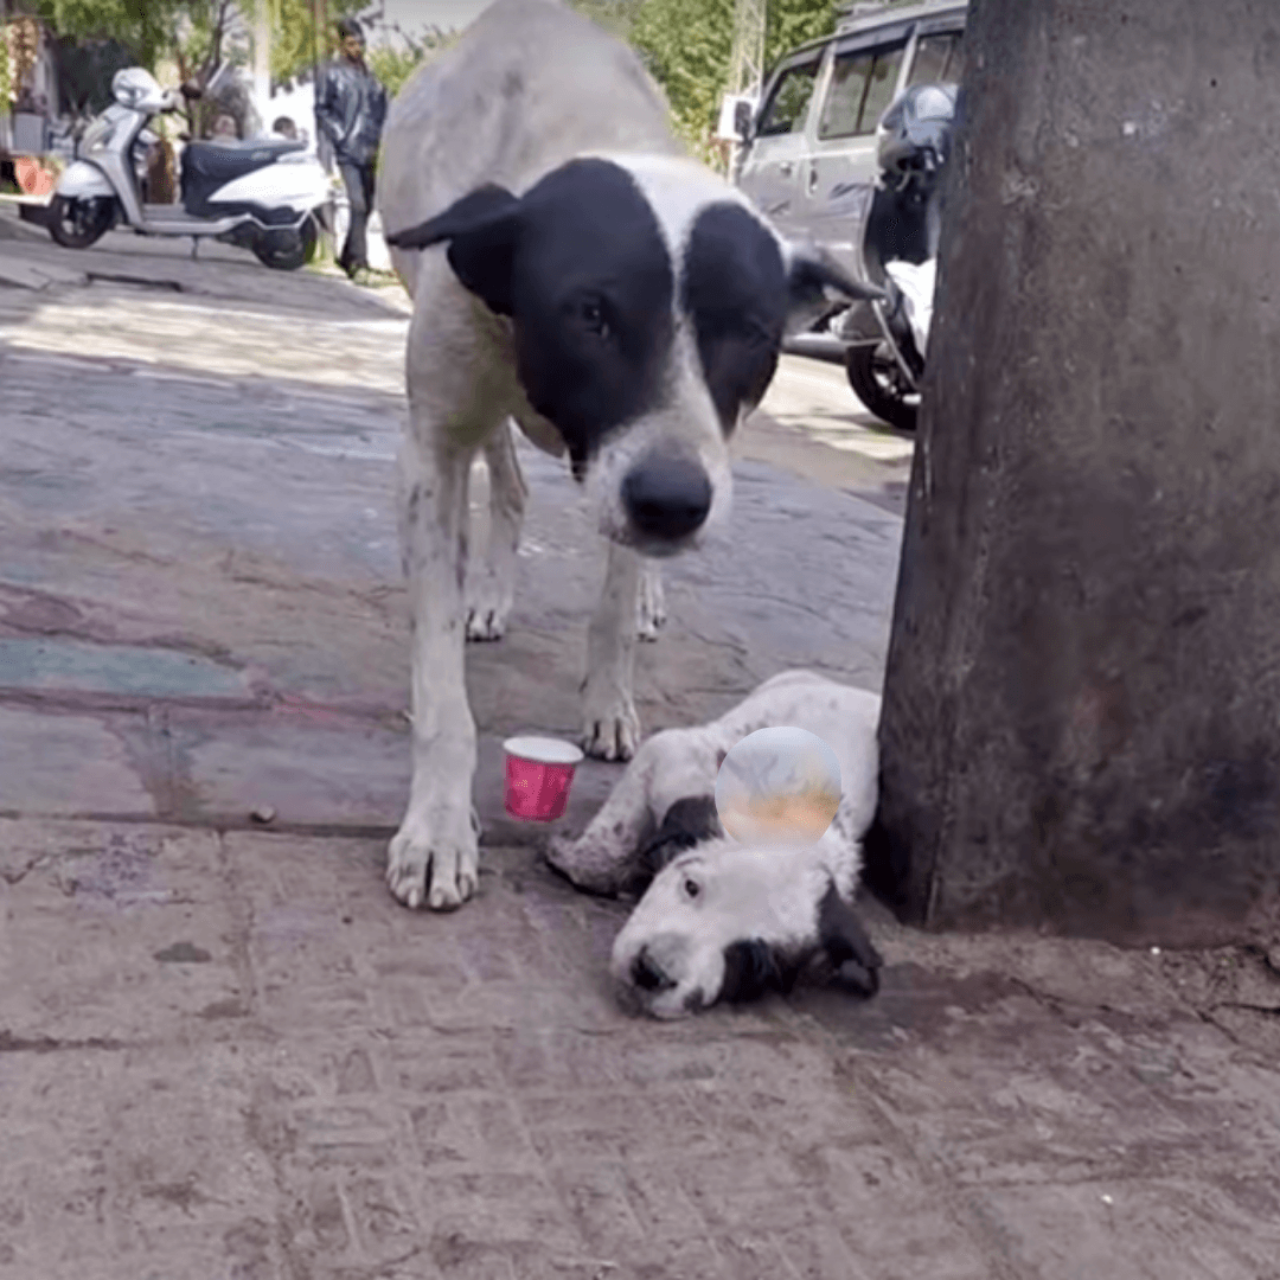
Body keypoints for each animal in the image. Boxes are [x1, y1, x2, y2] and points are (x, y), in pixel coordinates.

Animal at [376, 0, 880, 911]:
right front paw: (435, 827)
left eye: (750, 331)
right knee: (509, 487)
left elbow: (610, 606)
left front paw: (610, 696)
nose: (673, 505)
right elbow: (439, 679)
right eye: (591, 315)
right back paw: (490, 596)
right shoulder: (435, 437)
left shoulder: (672, 452)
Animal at [545, 670, 885, 1018]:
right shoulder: (671, 754)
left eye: (752, 962)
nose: (652, 973)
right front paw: (580, 859)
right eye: (691, 886)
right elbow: (617, 828)